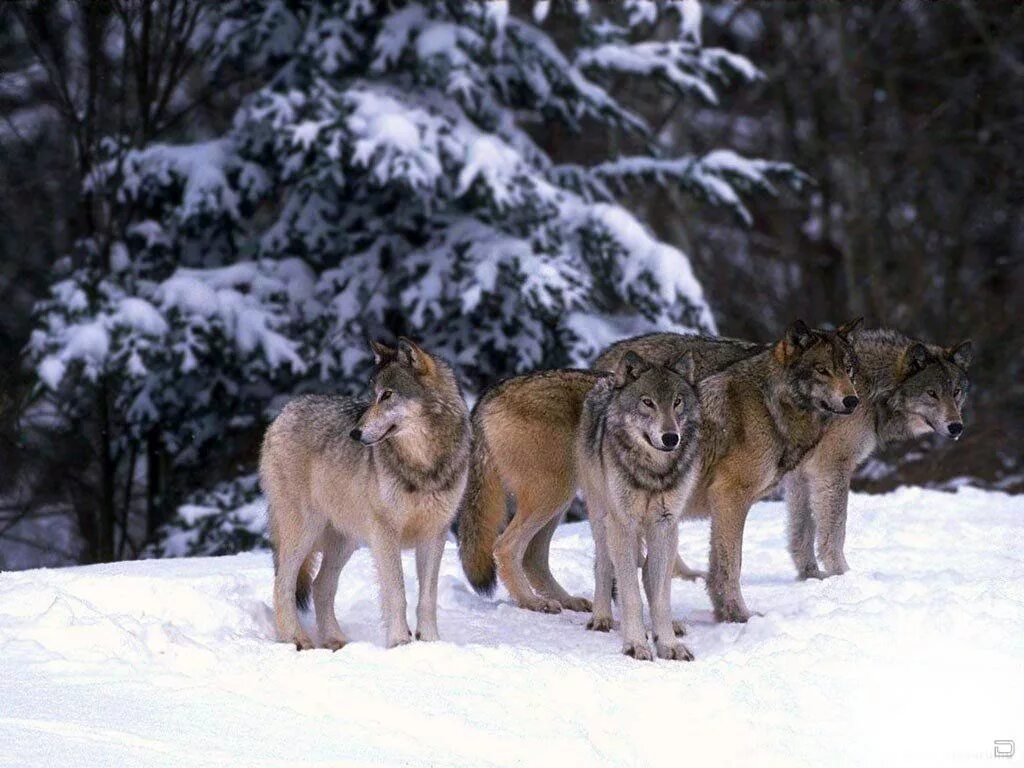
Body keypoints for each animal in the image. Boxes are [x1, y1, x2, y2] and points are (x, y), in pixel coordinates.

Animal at [262, 339, 473, 651]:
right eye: (372, 396)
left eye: (386, 395)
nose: (355, 433)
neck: (423, 465)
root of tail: (284, 412)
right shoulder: (385, 533)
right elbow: (397, 593)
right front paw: (400, 642)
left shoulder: (435, 533)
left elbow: (428, 598)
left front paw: (431, 642)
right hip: (305, 532)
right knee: (282, 584)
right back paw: (295, 639)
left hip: (345, 540)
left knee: (320, 585)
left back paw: (335, 640)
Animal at [460, 319, 860, 626]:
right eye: (823, 370)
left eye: (850, 369)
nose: (853, 400)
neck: (770, 405)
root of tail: (488, 395)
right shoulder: (731, 498)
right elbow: (731, 565)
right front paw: (738, 615)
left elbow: (715, 566)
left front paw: (722, 613)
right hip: (551, 496)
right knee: (505, 547)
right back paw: (533, 603)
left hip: (561, 501)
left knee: (534, 556)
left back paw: (569, 601)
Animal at [577, 354, 704, 663]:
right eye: (648, 402)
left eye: (677, 402)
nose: (671, 437)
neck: (653, 472)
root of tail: (608, 379)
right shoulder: (622, 523)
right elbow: (630, 594)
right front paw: (635, 643)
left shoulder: (664, 523)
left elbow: (659, 596)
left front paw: (668, 643)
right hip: (601, 517)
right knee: (603, 564)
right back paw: (601, 618)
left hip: (665, 533)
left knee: (649, 572)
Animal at [782, 329, 974, 577]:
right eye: (932, 393)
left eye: (956, 392)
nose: (956, 427)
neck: (873, 389)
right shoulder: (831, 467)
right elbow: (836, 528)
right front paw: (843, 574)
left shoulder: (801, 473)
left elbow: (802, 531)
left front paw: (812, 576)